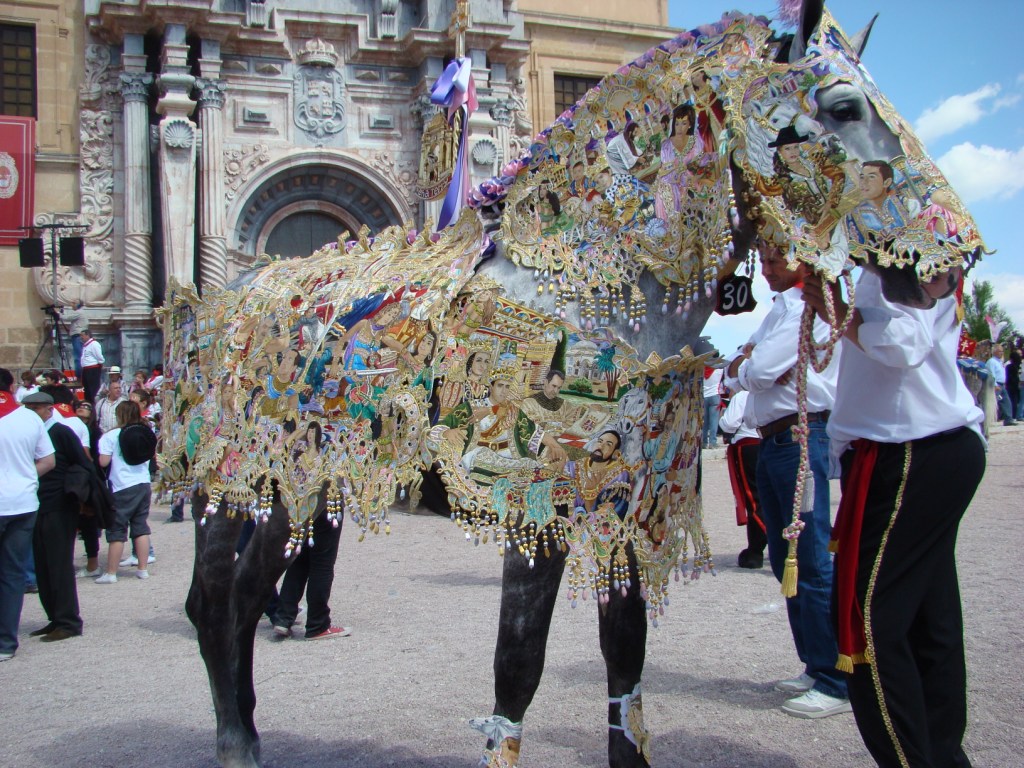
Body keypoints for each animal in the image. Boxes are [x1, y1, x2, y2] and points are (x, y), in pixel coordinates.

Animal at [165, 1, 983, 768]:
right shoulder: (539, 514)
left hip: (294, 481)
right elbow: (518, 667)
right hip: (228, 479)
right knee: (212, 602)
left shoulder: (625, 506)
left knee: (243, 599)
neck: (585, 293)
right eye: (843, 106)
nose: (951, 260)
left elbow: (626, 656)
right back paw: (234, 739)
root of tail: (214, 305)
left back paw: (247, 729)